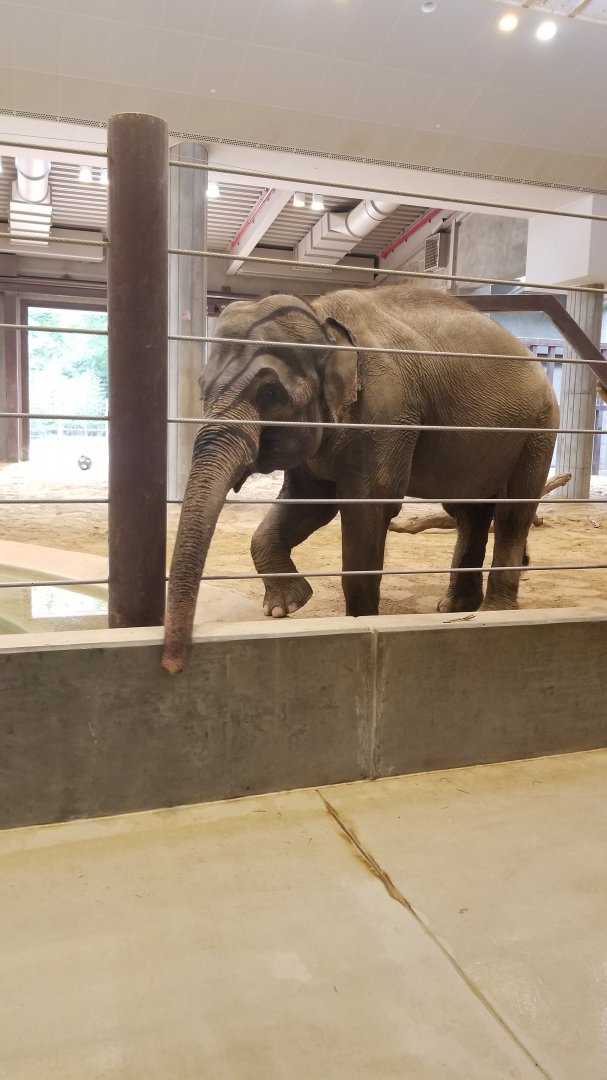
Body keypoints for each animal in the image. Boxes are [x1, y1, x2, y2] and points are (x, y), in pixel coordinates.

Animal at [162, 285, 559, 673]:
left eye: (271, 393)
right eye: (202, 389)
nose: (171, 666)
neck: (321, 316)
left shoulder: (387, 413)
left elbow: (367, 506)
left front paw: (361, 621)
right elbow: (309, 505)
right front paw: (286, 606)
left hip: (540, 428)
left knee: (512, 513)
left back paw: (495, 611)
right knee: (468, 513)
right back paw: (456, 607)